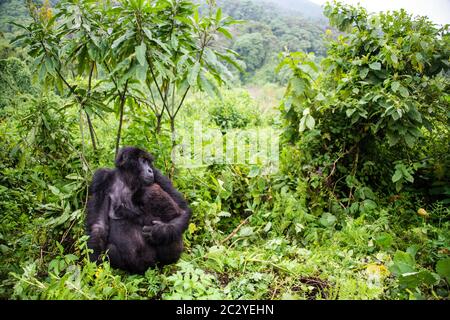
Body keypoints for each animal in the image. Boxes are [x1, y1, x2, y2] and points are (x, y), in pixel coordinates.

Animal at [86, 146, 192, 274]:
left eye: (148, 162)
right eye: (142, 161)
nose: (150, 170)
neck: (127, 180)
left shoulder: (158, 175)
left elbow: (183, 210)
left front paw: (158, 232)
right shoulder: (101, 179)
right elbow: (99, 225)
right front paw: (93, 267)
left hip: (155, 264)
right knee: (111, 249)